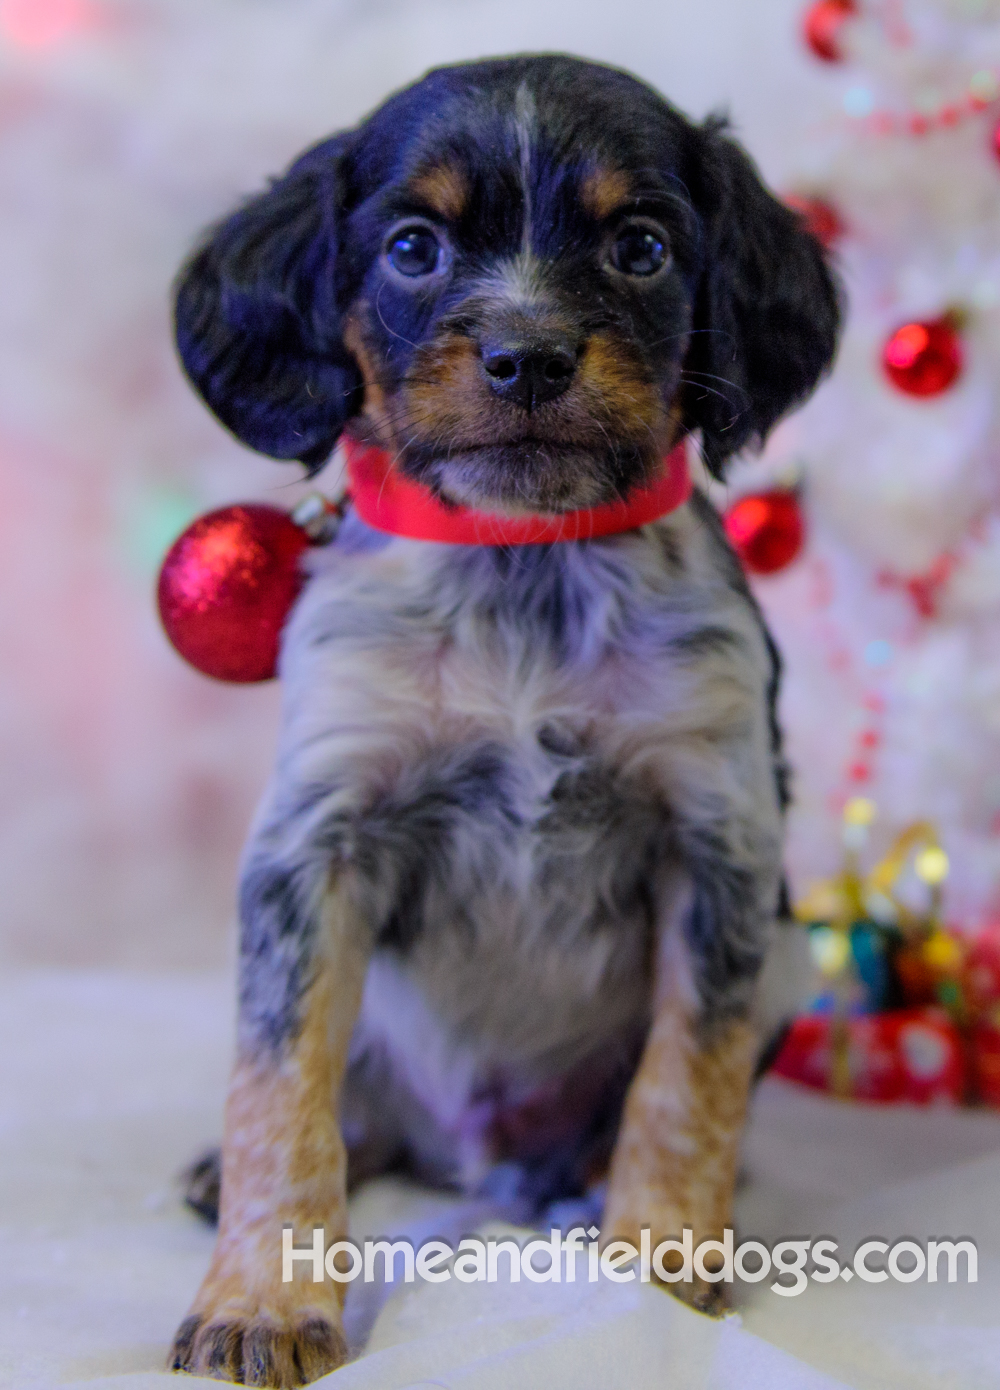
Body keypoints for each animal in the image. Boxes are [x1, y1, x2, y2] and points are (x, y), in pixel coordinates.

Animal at [170, 56, 834, 1390]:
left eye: (641, 248)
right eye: (412, 248)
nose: (527, 358)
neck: (523, 566)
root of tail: (481, 1158)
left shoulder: (720, 845)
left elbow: (686, 1081)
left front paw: (655, 1265)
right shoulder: (312, 847)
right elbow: (278, 1088)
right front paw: (263, 1299)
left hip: (791, 951)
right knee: (351, 1105)